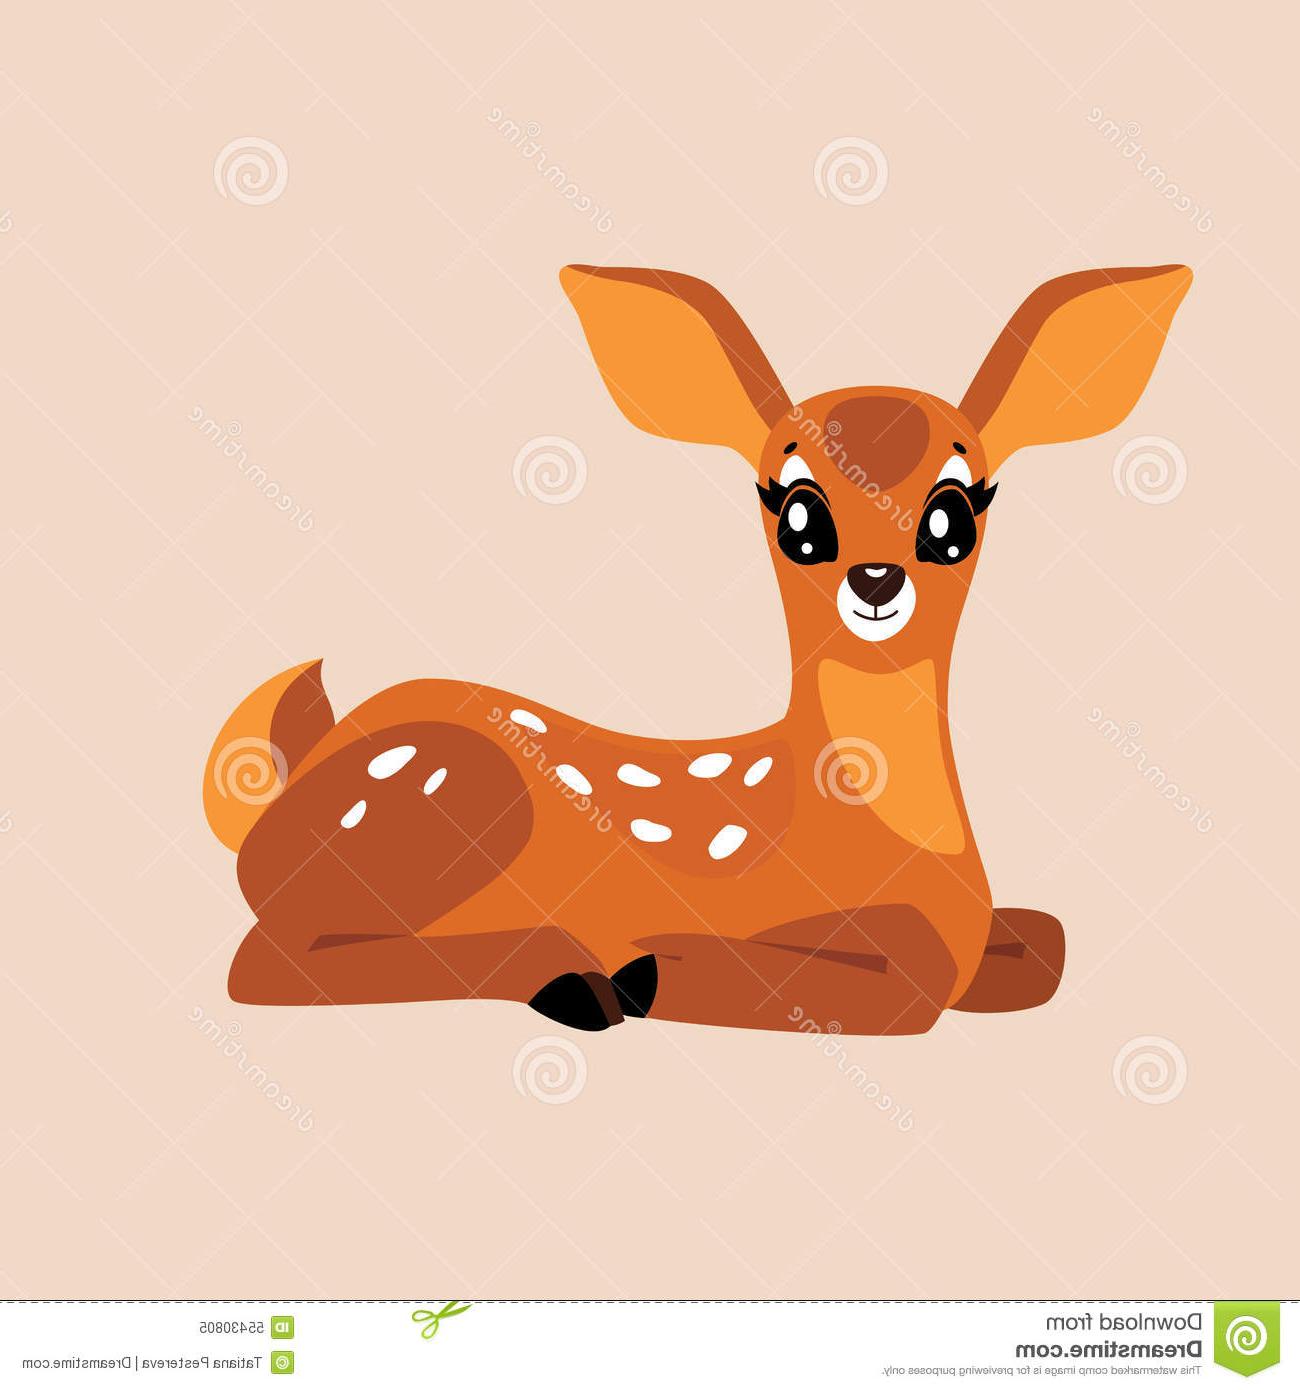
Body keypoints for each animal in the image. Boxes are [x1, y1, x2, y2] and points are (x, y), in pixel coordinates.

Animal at [202, 261, 1191, 1034]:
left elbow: (1044, 943)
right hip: (440, 800)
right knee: (259, 962)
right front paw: (651, 968)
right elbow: (903, 980)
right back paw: (577, 977)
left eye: (954, 513)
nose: (876, 582)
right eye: (797, 512)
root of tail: (283, 788)